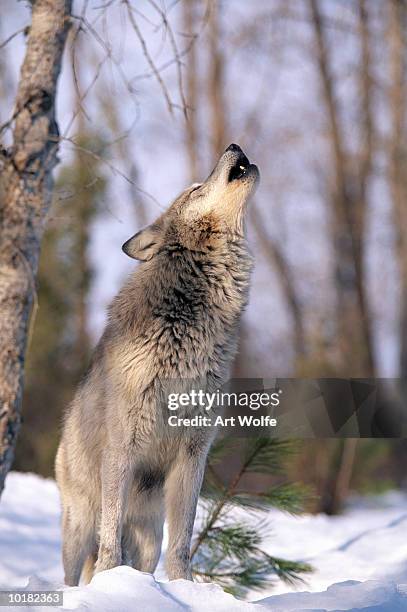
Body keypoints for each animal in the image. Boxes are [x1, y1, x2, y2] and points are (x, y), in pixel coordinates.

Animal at [55, 142, 258, 584]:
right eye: (195, 188)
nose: (235, 145)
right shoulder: (122, 448)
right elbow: (110, 542)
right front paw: (111, 582)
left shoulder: (193, 455)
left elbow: (182, 542)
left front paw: (186, 588)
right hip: (79, 525)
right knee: (74, 570)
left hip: (148, 536)